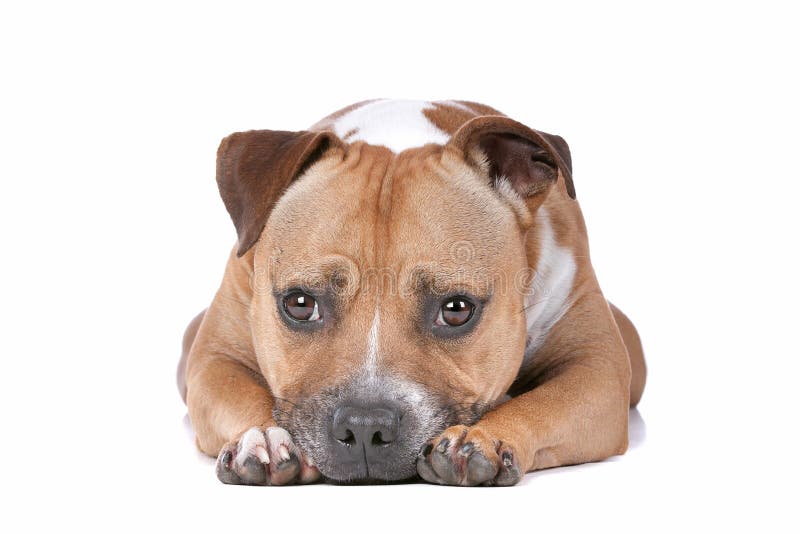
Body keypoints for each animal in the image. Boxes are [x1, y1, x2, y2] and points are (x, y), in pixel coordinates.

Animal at [178, 98, 648, 488]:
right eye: (299, 304)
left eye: (456, 309)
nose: (364, 426)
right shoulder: (214, 357)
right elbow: (241, 392)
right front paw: (263, 438)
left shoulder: (597, 366)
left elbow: (543, 404)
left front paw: (483, 436)